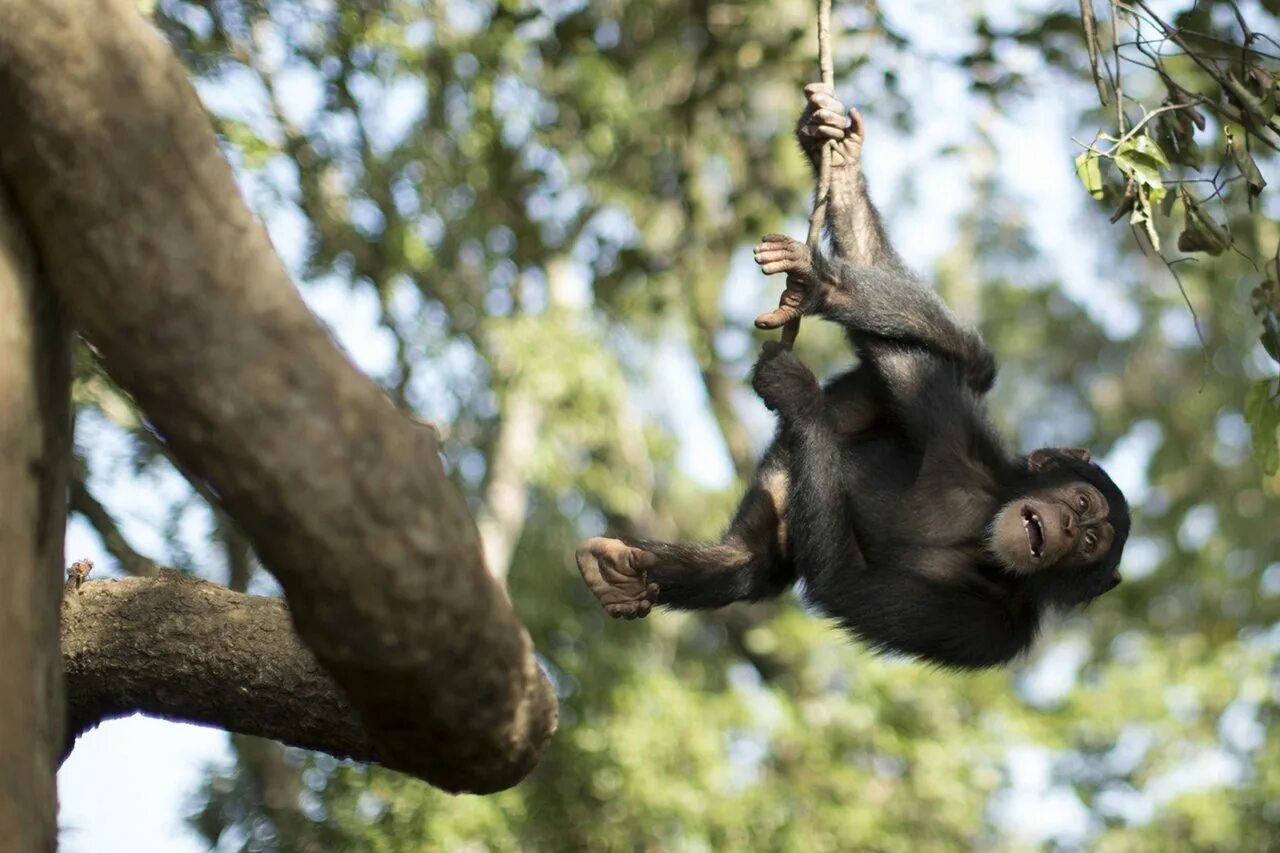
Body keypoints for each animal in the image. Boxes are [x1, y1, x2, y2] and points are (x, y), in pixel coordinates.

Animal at [578, 81, 1131, 666]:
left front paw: (800, 393)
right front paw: (821, 275)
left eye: (1090, 541)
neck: (984, 520)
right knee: (967, 358)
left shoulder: (994, 629)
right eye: (1081, 504)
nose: (1069, 526)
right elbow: (910, 361)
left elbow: (845, 582)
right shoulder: (949, 422)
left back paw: (630, 574)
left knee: (746, 563)